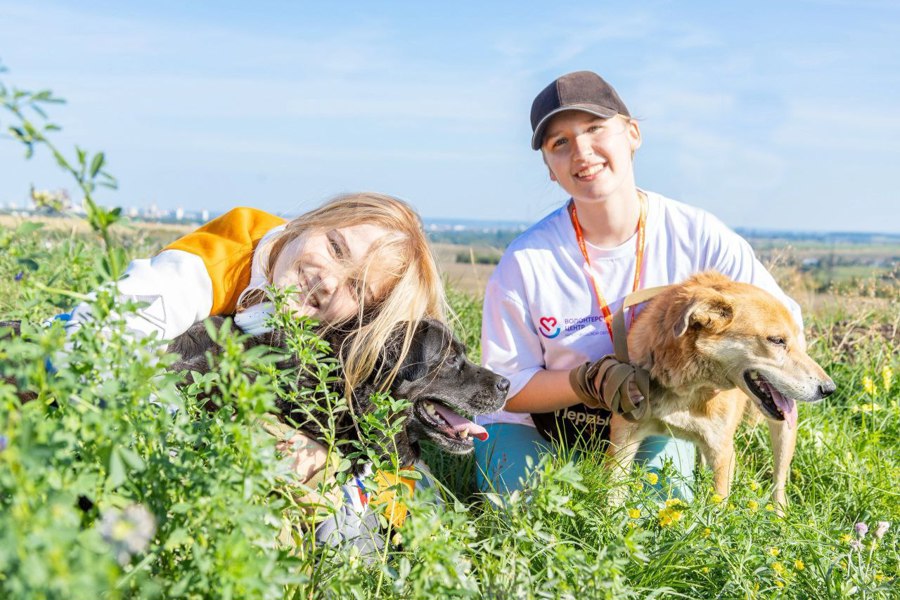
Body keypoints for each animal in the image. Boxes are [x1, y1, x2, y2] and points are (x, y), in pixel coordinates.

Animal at [608, 274, 832, 508]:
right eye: (777, 340)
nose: (829, 389)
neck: (687, 387)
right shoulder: (622, 440)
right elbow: (613, 496)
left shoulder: (722, 453)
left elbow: (718, 508)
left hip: (784, 434)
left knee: (778, 482)